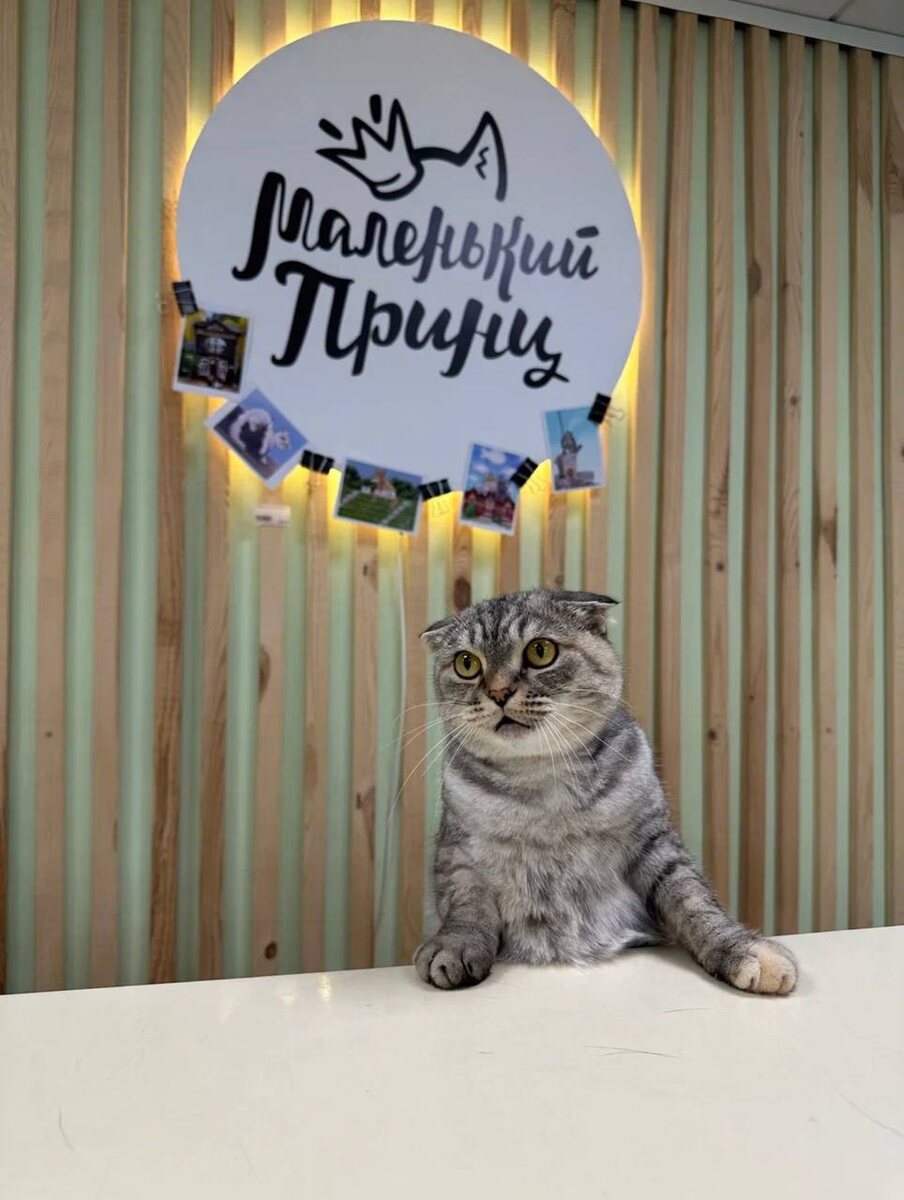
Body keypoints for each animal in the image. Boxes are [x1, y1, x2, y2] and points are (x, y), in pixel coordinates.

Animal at [416, 589, 798, 995]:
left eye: (540, 651)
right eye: (466, 663)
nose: (499, 691)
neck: (540, 784)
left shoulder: (655, 844)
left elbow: (696, 902)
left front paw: (741, 949)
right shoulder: (460, 855)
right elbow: (466, 907)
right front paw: (456, 947)